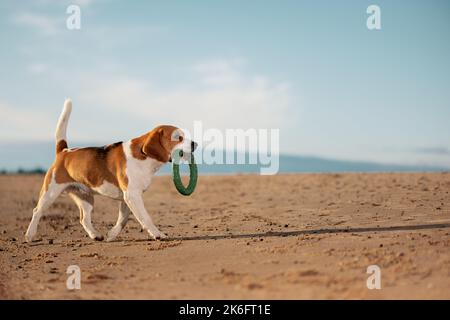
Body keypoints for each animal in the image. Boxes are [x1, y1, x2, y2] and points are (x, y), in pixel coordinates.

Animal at [24, 100, 197, 242]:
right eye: (178, 137)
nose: (195, 144)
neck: (144, 155)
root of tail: (64, 151)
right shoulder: (132, 195)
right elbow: (146, 218)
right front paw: (158, 234)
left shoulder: (127, 198)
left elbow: (123, 220)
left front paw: (111, 235)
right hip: (50, 192)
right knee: (36, 211)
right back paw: (30, 235)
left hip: (85, 198)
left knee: (84, 218)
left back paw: (95, 235)